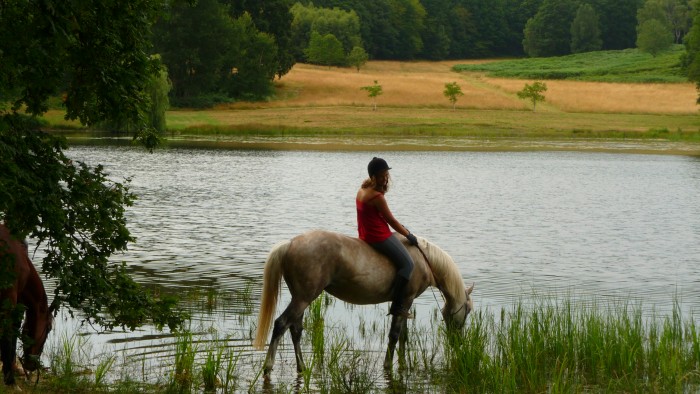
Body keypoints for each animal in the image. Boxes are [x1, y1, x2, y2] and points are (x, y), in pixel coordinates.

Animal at [253, 231, 476, 376]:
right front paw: (388, 366)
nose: (457, 341)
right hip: (303, 299)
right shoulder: (405, 300)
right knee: (281, 324)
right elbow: (395, 335)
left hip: (301, 299)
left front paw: (403, 364)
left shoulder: (404, 304)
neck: (423, 259)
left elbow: (403, 337)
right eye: (468, 311)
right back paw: (268, 367)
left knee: (295, 330)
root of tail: (290, 243)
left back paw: (302, 367)